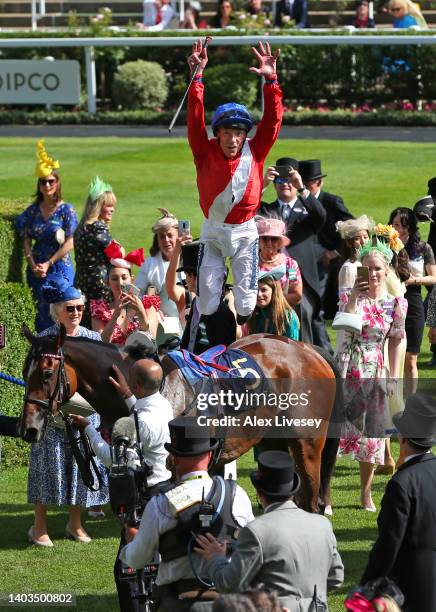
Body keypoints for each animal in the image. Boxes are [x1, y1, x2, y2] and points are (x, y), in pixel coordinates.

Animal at [19, 326, 340, 512]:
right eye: (24, 372)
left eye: (46, 373)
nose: (28, 429)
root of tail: (307, 349)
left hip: (307, 444)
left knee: (310, 503)